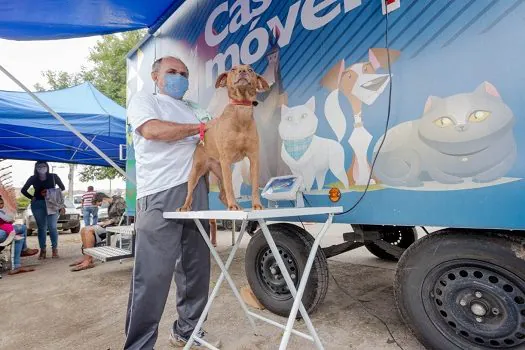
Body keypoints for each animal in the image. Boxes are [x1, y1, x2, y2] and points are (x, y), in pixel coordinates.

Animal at [180, 65, 270, 211]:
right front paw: (233, 205)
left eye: (250, 69)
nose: (242, 71)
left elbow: (255, 186)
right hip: (197, 171)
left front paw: (257, 205)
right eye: (233, 69)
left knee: (222, 194)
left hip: (220, 171)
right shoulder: (226, 159)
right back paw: (185, 206)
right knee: (190, 192)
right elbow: (230, 187)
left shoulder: (254, 158)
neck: (241, 111)